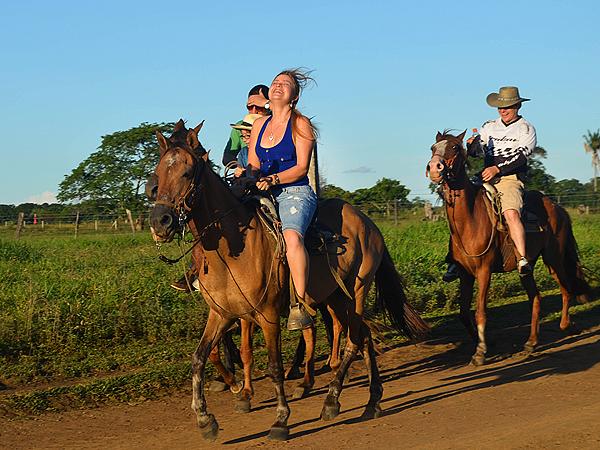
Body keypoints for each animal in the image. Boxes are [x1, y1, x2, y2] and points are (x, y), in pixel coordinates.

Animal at [150, 119, 432, 440]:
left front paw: (281, 420)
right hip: (336, 296)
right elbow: (199, 358)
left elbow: (274, 366)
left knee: (352, 340)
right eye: (157, 174)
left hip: (357, 291)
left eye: (186, 172)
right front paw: (205, 418)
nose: (160, 221)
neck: (231, 250)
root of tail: (367, 221)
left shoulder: (268, 315)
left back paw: (331, 399)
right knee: (363, 337)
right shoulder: (222, 314)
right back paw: (371, 400)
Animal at [426, 130, 592, 366]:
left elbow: (480, 312)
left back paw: (565, 325)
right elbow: (463, 313)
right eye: (433, 148)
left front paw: (480, 352)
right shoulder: (465, 275)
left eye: (455, 147)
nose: (434, 167)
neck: (470, 219)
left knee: (566, 289)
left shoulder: (484, 271)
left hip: (553, 259)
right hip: (528, 268)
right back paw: (531, 342)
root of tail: (558, 208)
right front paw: (488, 343)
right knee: (536, 298)